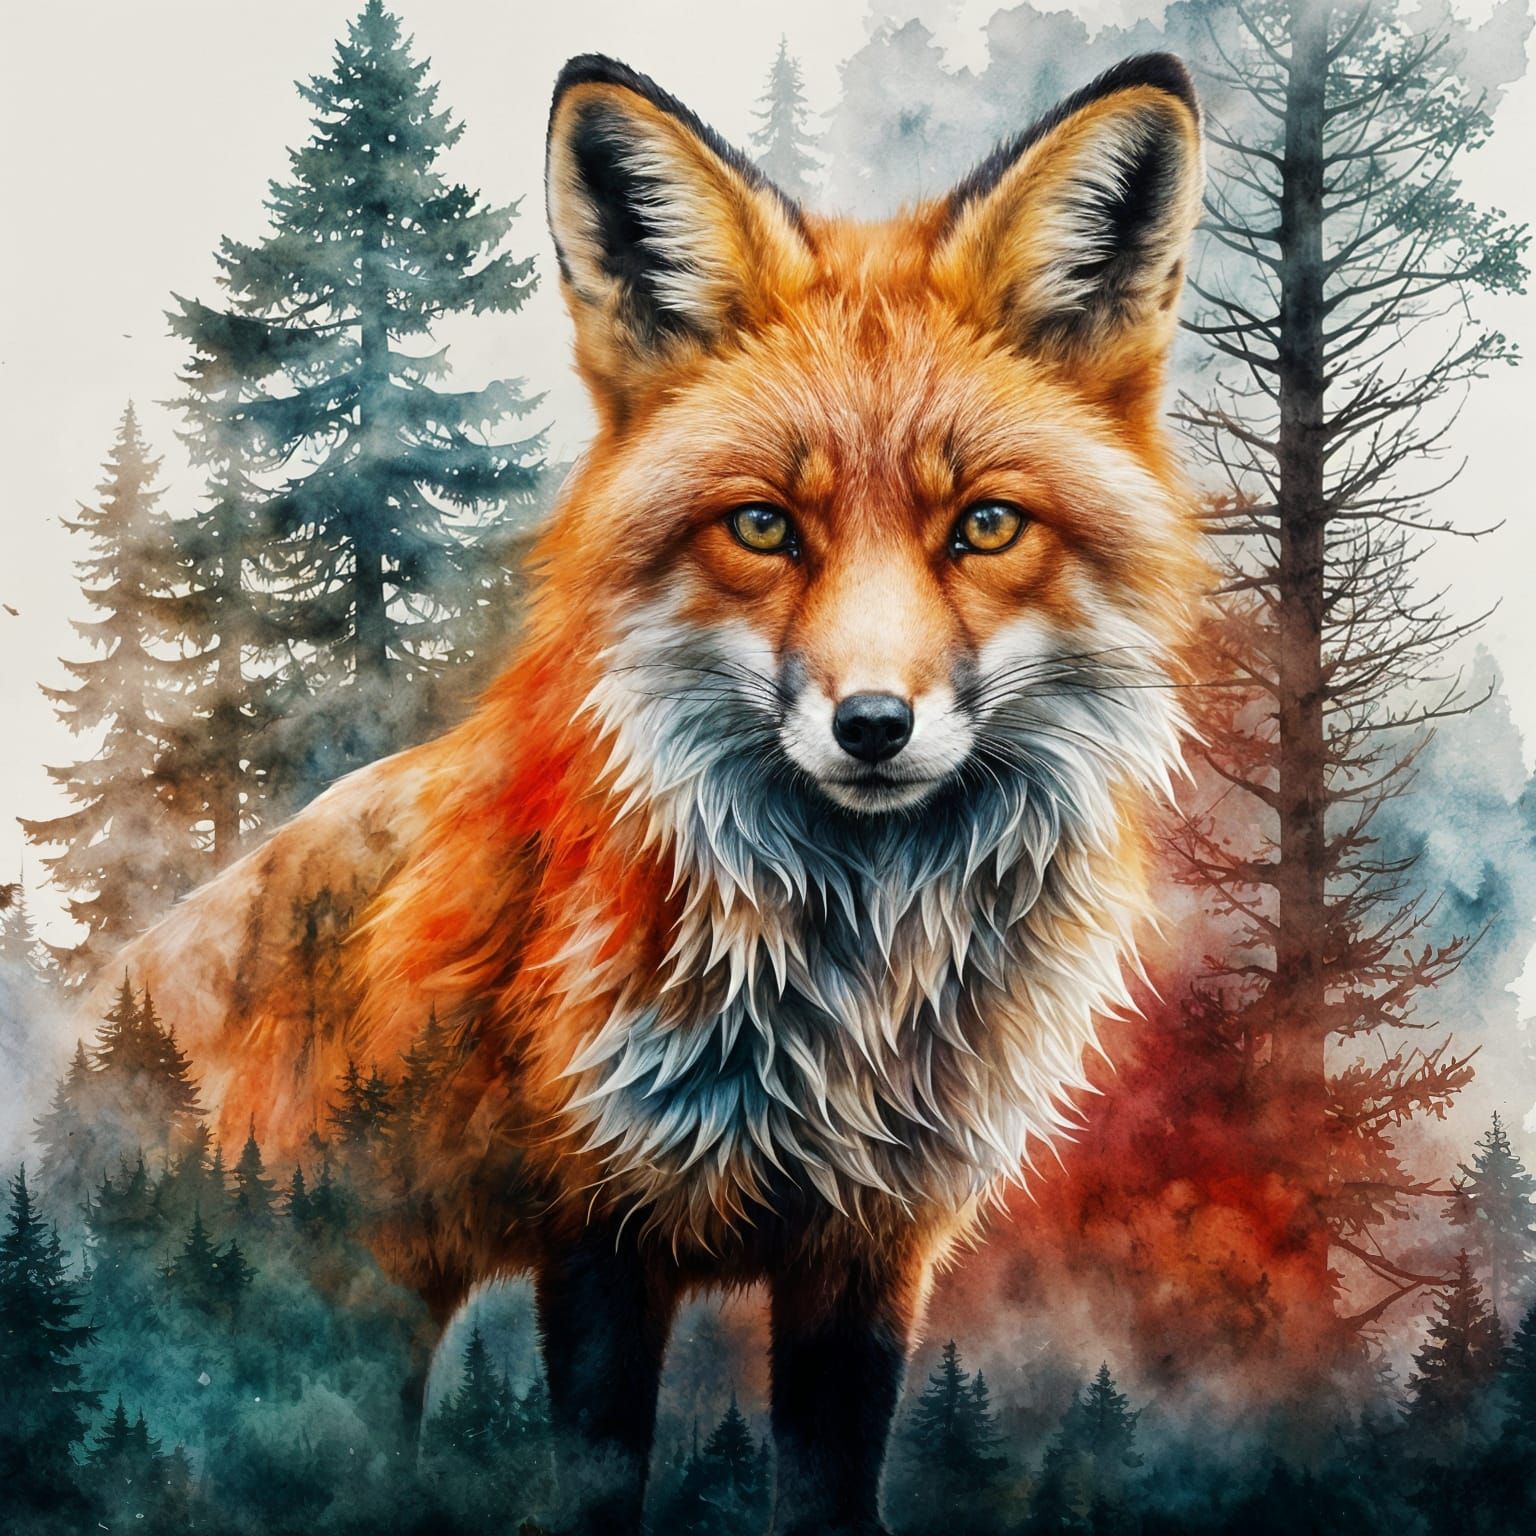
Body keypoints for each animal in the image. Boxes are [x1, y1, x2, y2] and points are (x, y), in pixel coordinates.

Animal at [94, 51, 1205, 1536]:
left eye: (983, 525)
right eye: (763, 526)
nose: (872, 727)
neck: (844, 983)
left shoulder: (869, 1249)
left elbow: (830, 1485)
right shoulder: (598, 1229)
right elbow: (597, 1477)